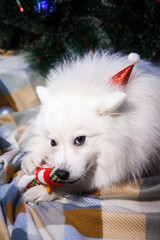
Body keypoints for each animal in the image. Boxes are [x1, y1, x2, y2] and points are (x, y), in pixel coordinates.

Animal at [21, 51, 160, 202]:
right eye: (53, 142)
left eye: (80, 139)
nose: (61, 174)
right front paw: (33, 157)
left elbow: (76, 183)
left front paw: (45, 190)